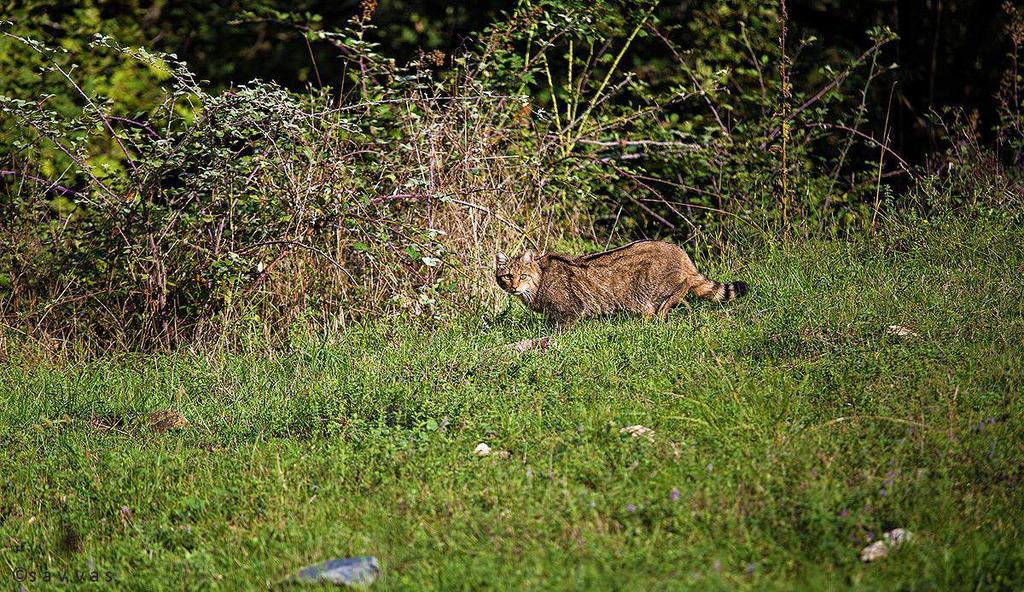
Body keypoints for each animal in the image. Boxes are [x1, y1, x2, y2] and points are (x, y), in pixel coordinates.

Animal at [493, 238, 745, 323]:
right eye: (507, 276)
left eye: (522, 276)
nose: (514, 287)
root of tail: (680, 252)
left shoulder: (569, 312)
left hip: (655, 287)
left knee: (684, 286)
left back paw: (664, 310)